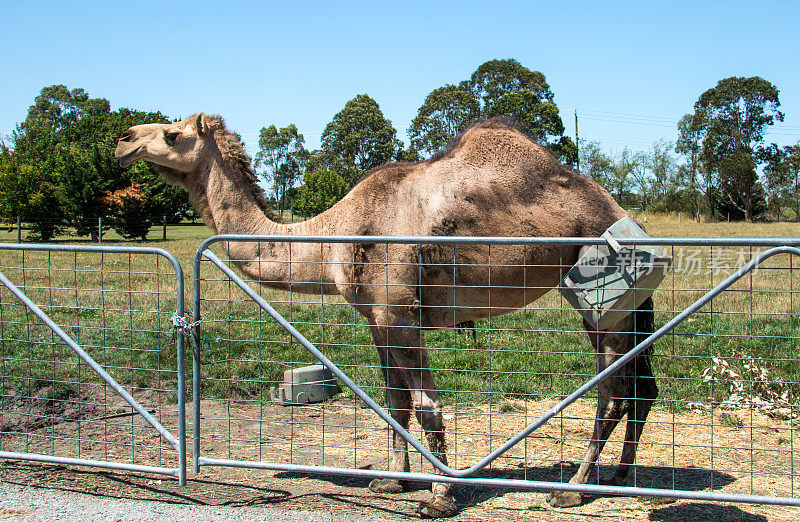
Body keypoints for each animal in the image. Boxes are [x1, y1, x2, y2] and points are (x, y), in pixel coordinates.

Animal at [115, 114, 660, 516]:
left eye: (173, 134)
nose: (123, 140)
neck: (333, 235)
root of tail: (621, 210)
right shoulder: (376, 319)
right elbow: (394, 402)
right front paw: (392, 483)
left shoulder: (400, 313)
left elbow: (427, 407)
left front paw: (441, 496)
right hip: (616, 307)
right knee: (642, 387)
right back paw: (620, 476)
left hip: (604, 295)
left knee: (613, 393)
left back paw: (572, 489)